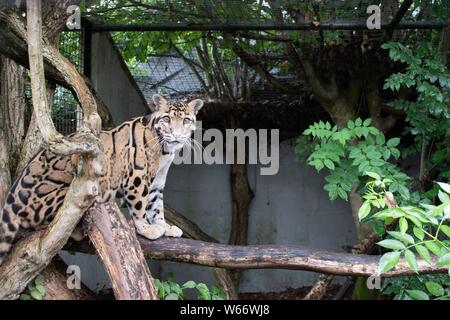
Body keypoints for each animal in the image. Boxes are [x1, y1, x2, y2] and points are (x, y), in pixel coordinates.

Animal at [0, 94, 202, 264]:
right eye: (167, 119)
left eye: (186, 120)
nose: (176, 135)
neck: (165, 150)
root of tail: (12, 198)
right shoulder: (137, 177)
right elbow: (140, 205)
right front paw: (146, 228)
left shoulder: (156, 182)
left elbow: (156, 205)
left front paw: (164, 226)